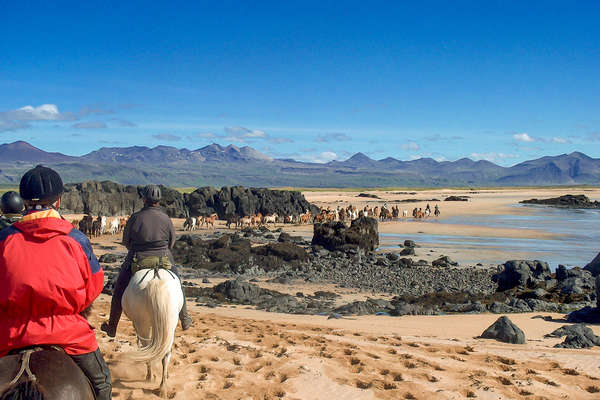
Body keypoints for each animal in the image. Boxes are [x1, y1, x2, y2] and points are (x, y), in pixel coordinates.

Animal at [119, 268, 180, 396]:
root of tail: (156, 278)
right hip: (170, 324)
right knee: (165, 353)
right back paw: (163, 387)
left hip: (143, 324)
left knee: (147, 348)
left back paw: (150, 377)